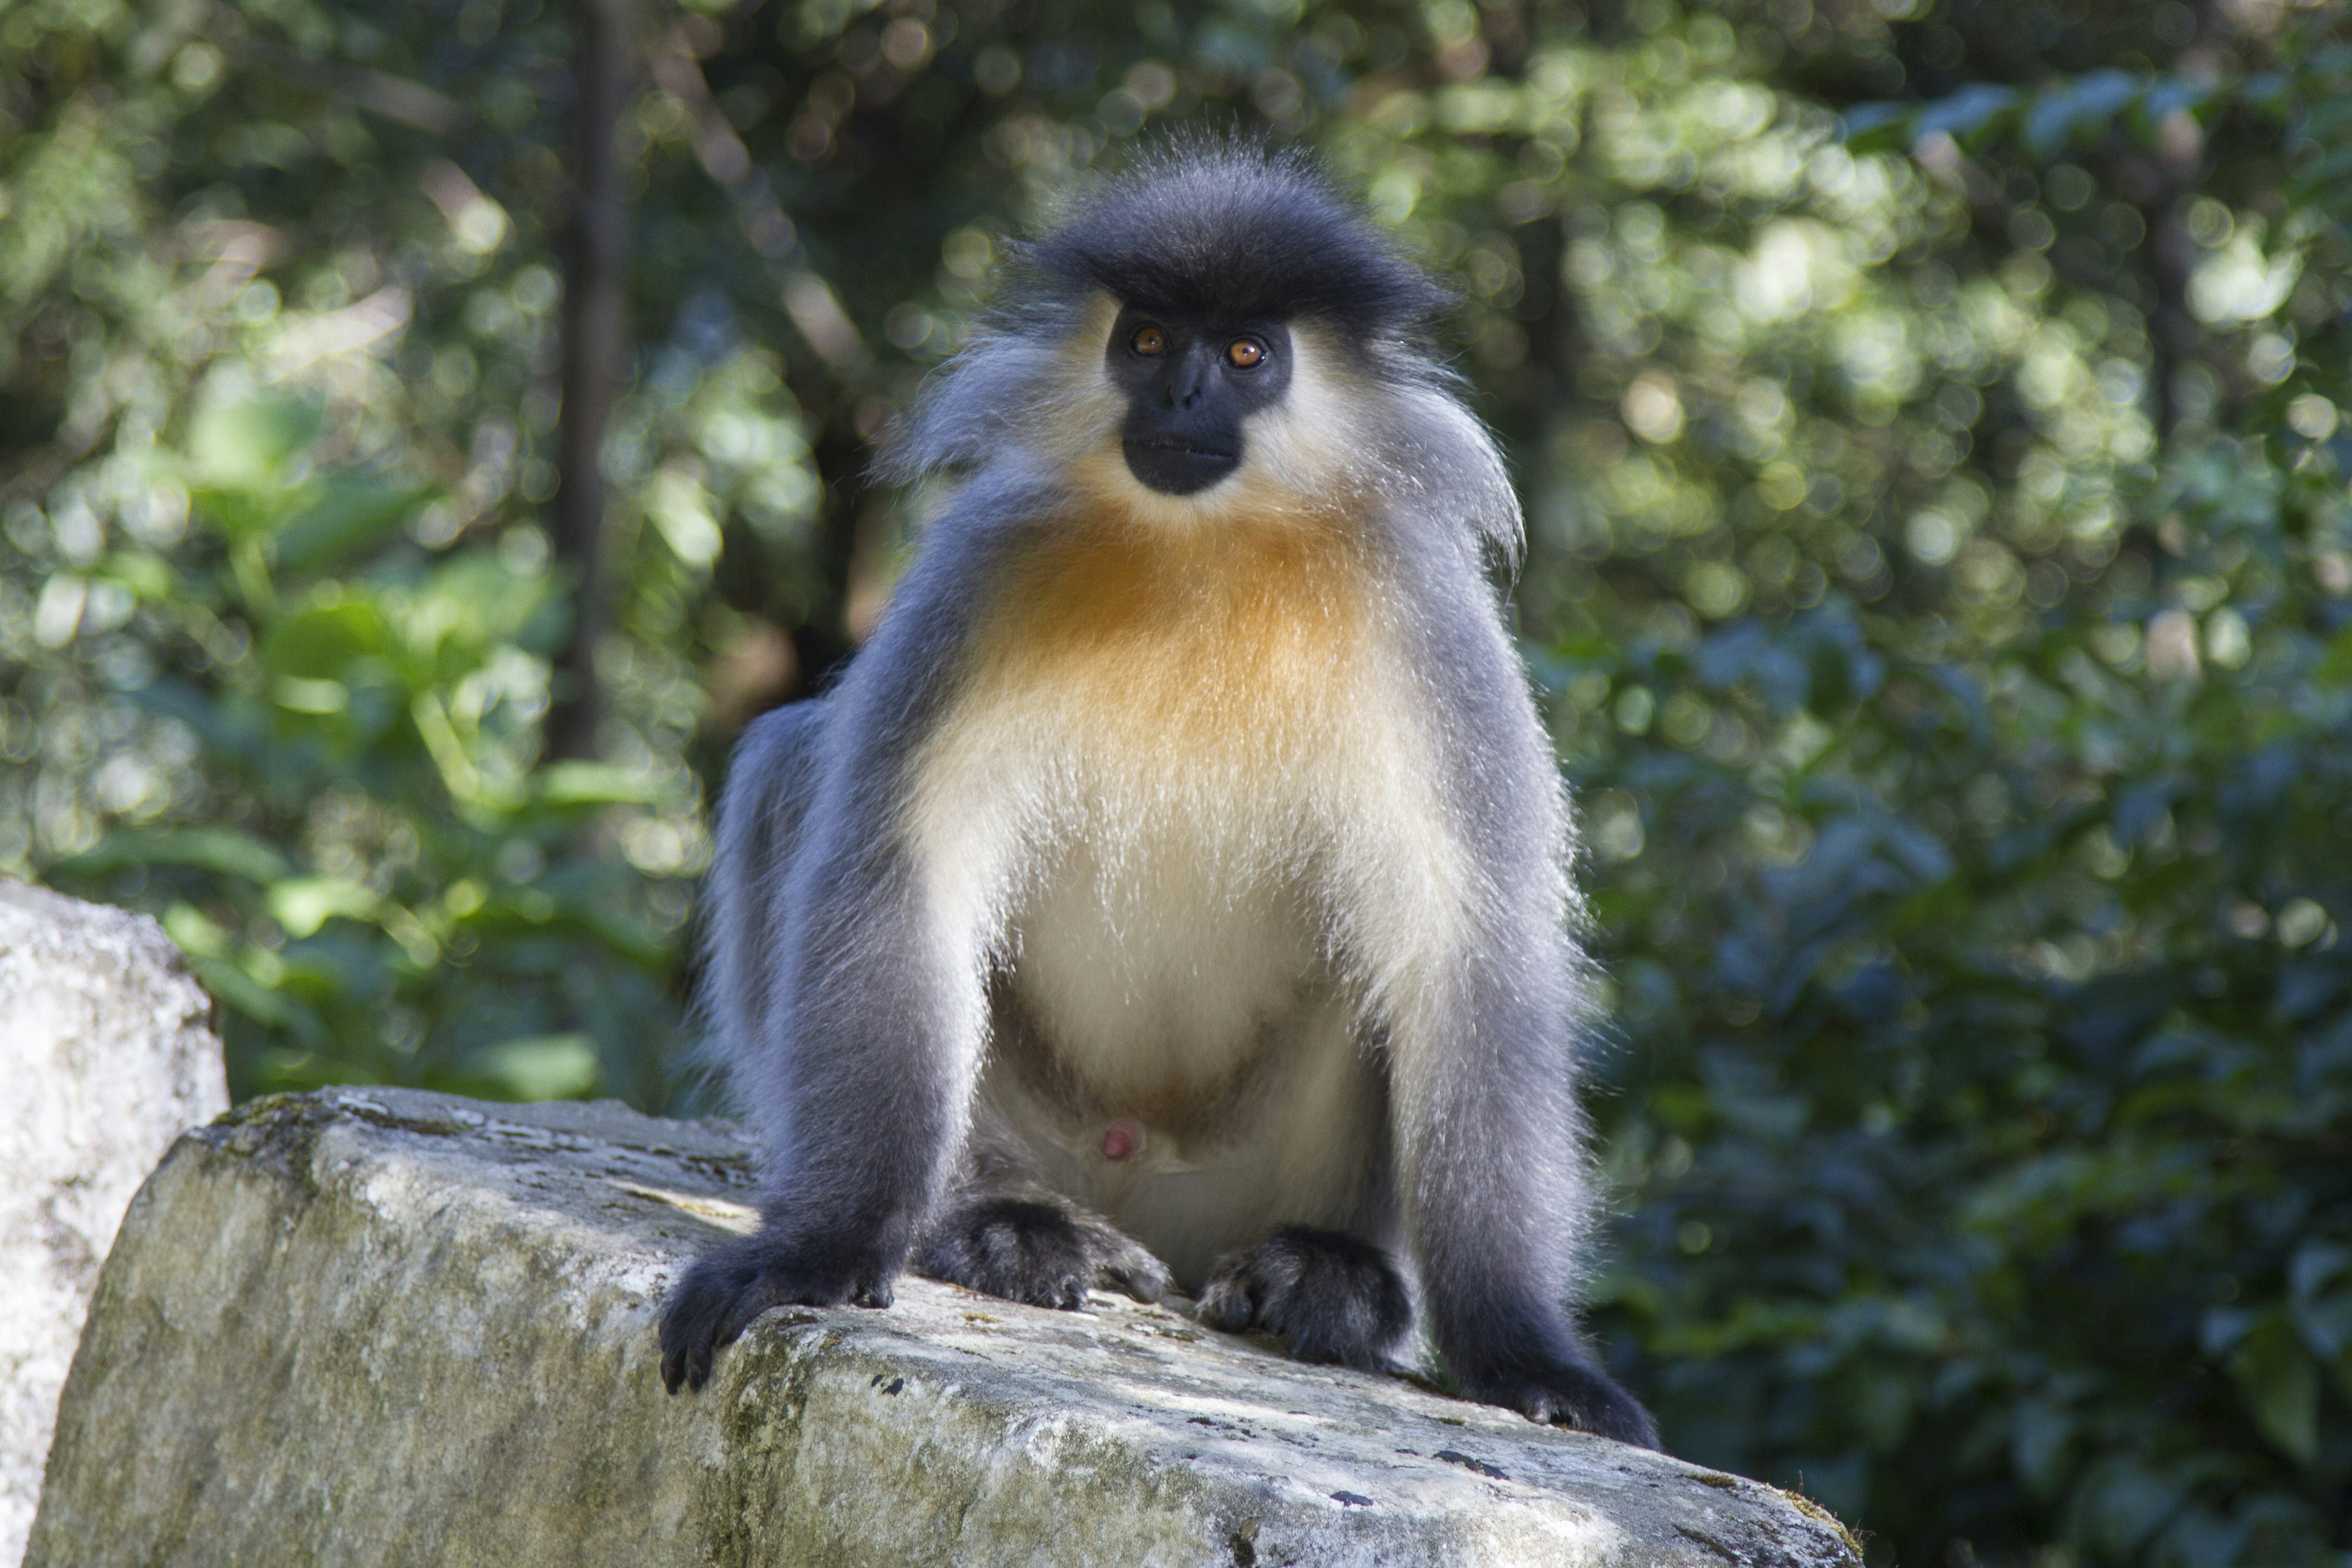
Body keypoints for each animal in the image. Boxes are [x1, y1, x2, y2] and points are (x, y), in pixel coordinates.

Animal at [654, 144, 1665, 1448]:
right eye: (1144, 340)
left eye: (1242, 354)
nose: (1179, 398)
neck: (1205, 551)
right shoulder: (987, 564)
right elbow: (903, 871)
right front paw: (821, 1247)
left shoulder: (1426, 616)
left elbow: (1470, 950)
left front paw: (1525, 1354)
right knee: (790, 762)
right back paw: (1000, 1224)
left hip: (1240, 1172)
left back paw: (1327, 1274)